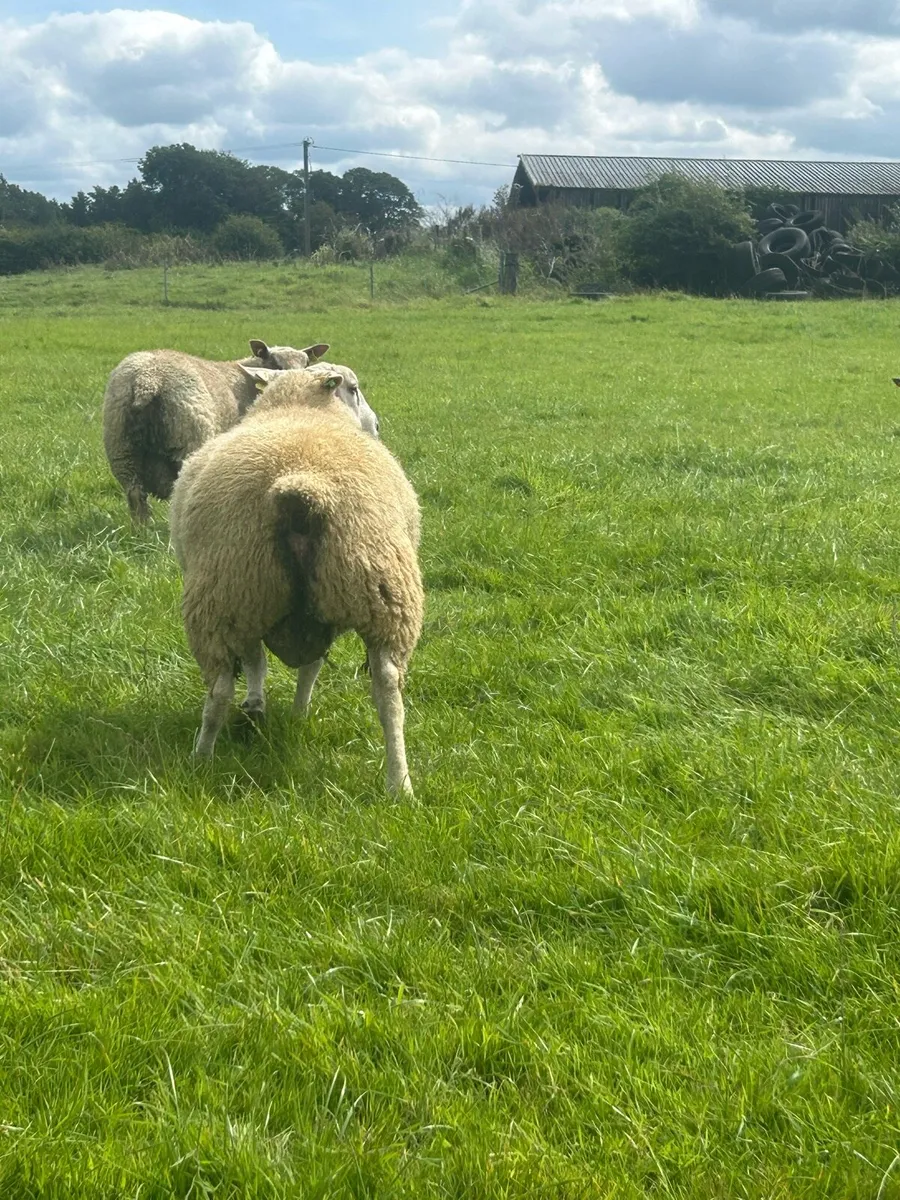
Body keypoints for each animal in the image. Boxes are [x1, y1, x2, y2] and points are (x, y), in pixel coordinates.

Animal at [102, 338, 329, 523]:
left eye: (307, 363)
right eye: (274, 363)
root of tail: (148, 380)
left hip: (121, 450)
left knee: (135, 494)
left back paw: (142, 530)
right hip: (188, 439)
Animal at [168, 363, 423, 793]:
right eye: (355, 389)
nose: (377, 426)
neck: (298, 407)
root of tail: (300, 487)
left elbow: (260, 662)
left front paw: (263, 705)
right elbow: (309, 665)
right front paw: (294, 712)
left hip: (228, 591)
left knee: (220, 689)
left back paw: (201, 758)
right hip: (381, 593)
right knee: (388, 689)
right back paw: (399, 783)